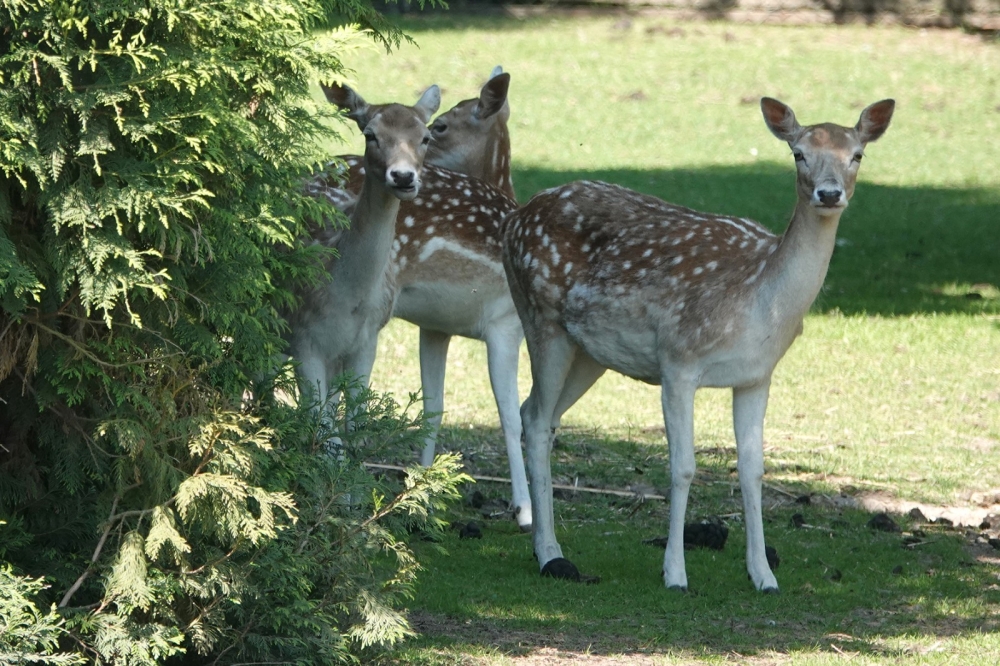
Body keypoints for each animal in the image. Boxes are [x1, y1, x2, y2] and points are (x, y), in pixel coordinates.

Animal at [290, 83, 442, 428]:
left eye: (426, 137)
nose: (403, 176)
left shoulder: (367, 339)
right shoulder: (304, 337)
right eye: (370, 134)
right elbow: (316, 421)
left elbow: (353, 420)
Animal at [324, 66, 536, 524]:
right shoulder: (505, 322)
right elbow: (511, 416)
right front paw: (524, 509)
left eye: (436, 128)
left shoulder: (436, 325)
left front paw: (421, 491)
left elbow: (432, 408)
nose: (408, 173)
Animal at [504, 96, 896, 588]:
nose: (828, 193)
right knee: (536, 418)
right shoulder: (678, 359)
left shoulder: (756, 376)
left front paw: (763, 575)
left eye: (856, 154)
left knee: (540, 413)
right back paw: (550, 554)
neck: (759, 302)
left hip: (589, 352)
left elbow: (752, 470)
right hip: (540, 316)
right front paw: (674, 573)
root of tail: (513, 219)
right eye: (798, 154)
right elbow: (684, 467)